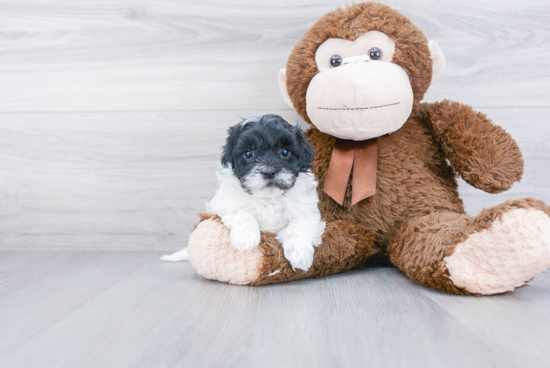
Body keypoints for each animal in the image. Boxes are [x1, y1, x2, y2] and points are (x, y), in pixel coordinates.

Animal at [164, 113, 328, 272]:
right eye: (248, 154)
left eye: (284, 152)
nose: (269, 172)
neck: (268, 198)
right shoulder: (224, 203)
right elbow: (242, 211)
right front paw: (245, 238)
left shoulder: (307, 209)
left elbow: (299, 223)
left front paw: (299, 254)